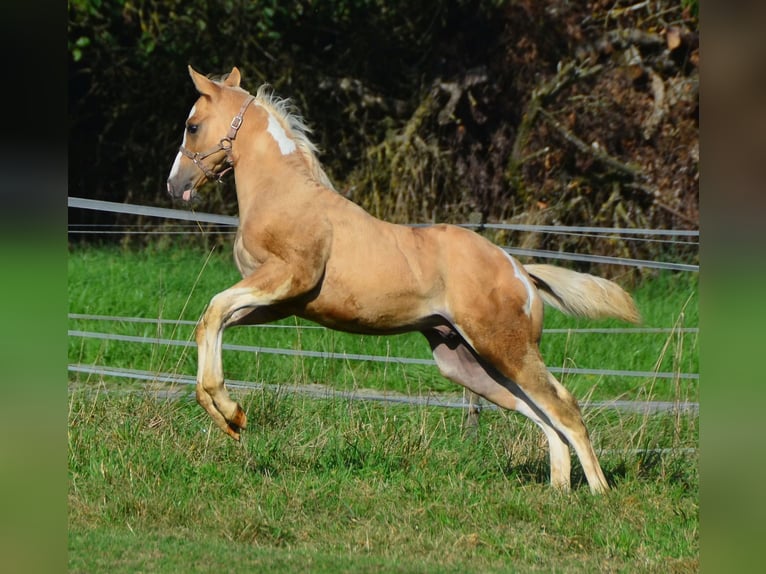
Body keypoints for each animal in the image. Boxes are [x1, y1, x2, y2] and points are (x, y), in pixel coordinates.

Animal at [166, 64, 640, 496]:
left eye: (192, 125)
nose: (175, 184)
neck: (285, 195)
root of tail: (520, 271)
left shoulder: (287, 278)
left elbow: (213, 311)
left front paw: (230, 410)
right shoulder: (278, 304)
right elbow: (214, 321)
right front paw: (228, 417)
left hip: (506, 350)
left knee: (564, 407)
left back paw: (599, 494)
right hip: (471, 364)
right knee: (540, 413)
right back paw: (558, 492)